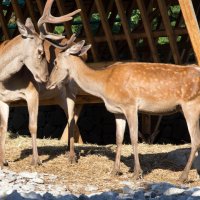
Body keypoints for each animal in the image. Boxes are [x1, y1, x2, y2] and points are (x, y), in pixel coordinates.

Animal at [0, 0, 81, 169]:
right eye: (40, 52)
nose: (46, 78)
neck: (5, 80)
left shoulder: (32, 92)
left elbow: (33, 126)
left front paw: (36, 160)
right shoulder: (2, 98)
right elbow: (3, 128)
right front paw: (3, 161)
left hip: (71, 90)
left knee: (72, 119)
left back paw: (71, 157)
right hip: (58, 96)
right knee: (69, 118)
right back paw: (67, 152)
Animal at [46, 40, 200, 183]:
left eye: (55, 61)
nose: (48, 84)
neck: (103, 84)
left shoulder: (130, 105)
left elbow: (133, 138)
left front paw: (137, 173)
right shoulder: (118, 111)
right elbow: (119, 138)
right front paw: (115, 171)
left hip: (191, 104)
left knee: (195, 141)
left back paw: (183, 177)